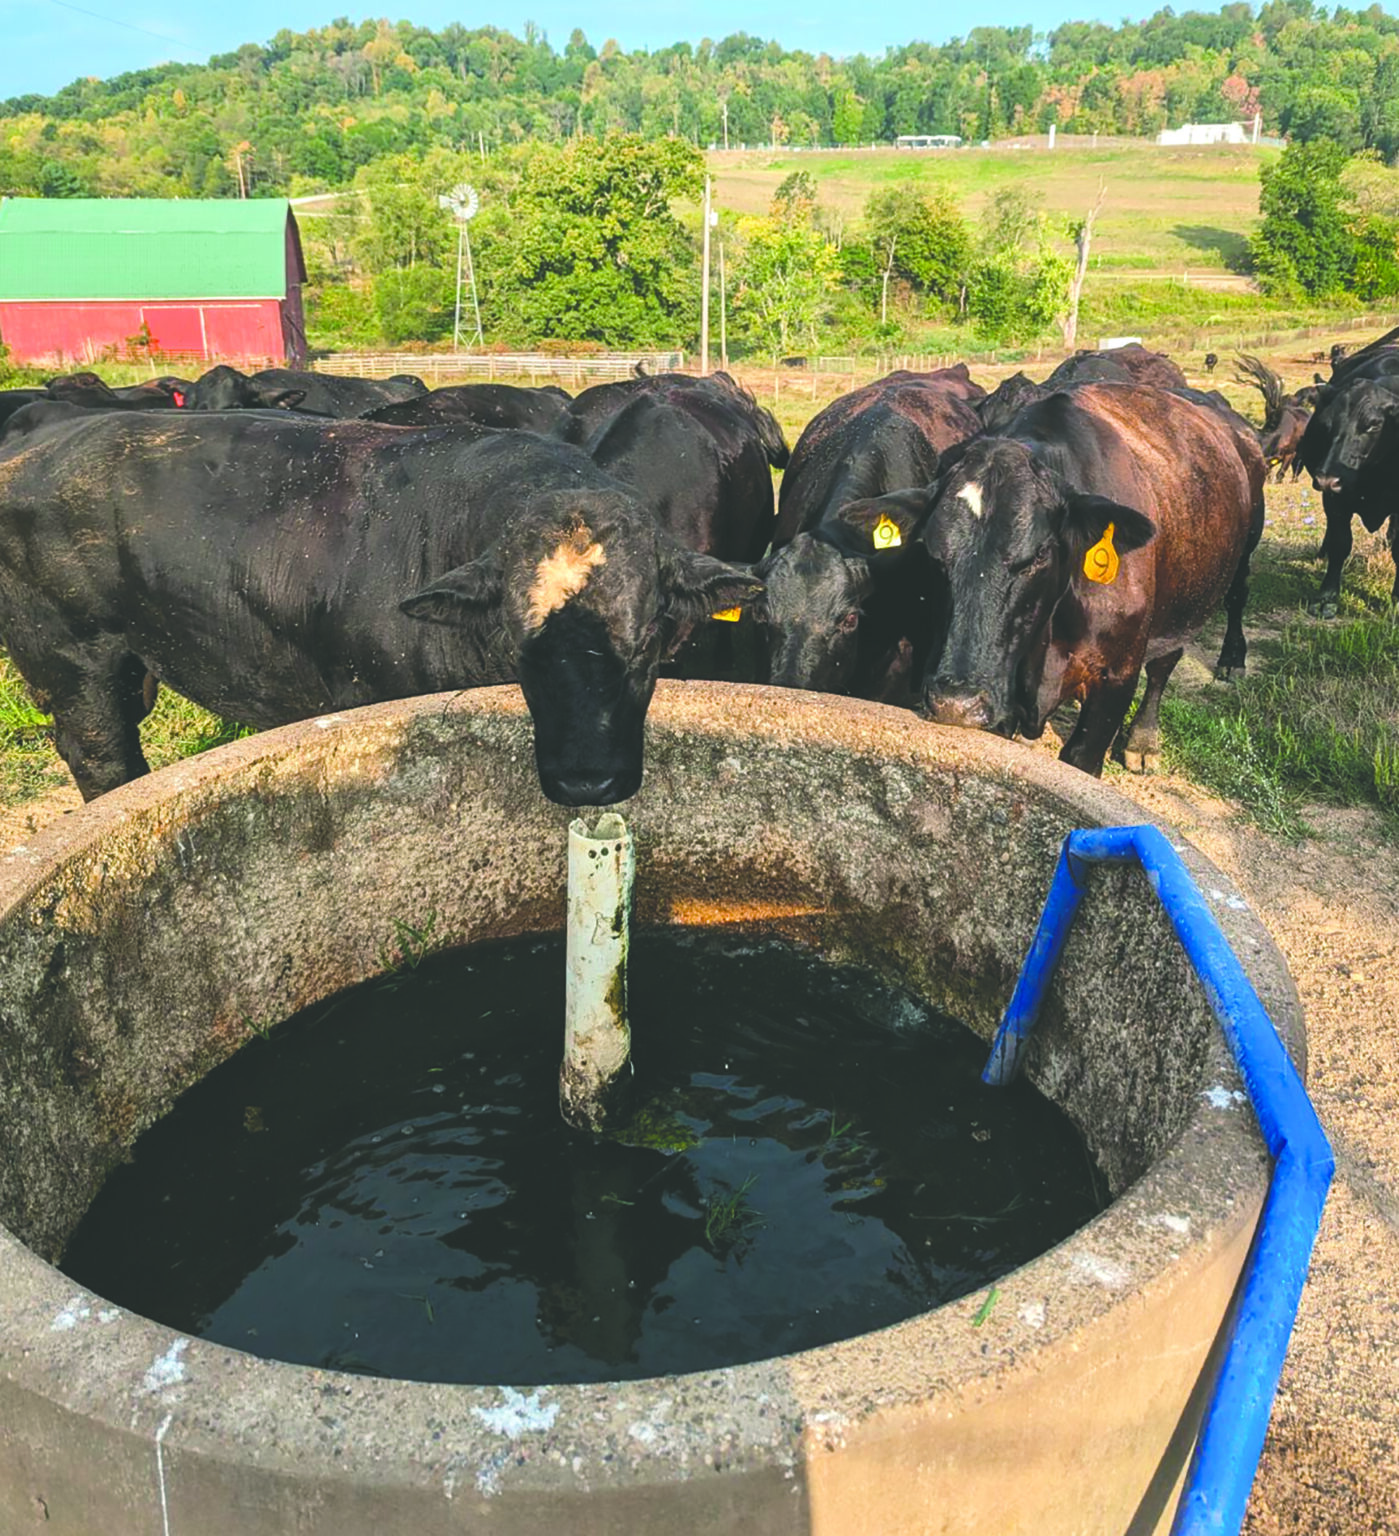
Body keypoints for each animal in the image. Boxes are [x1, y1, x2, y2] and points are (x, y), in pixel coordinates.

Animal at [921, 379, 1271, 774]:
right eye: (932, 553)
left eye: (1039, 553)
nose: (955, 702)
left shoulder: (1116, 679)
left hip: (1230, 563)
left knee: (1198, 632)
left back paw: (1154, 730)